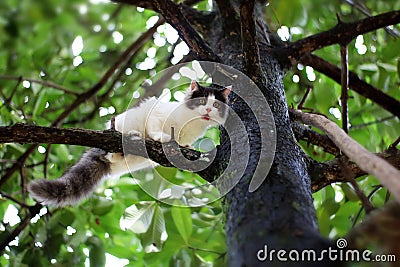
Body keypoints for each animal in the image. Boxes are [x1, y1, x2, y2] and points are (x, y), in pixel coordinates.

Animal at [28, 81, 231, 207]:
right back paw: (131, 136)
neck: (191, 123)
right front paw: (161, 137)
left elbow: (184, 143)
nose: (207, 110)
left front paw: (186, 148)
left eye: (216, 105)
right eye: (202, 101)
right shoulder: (155, 112)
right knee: (110, 151)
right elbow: (156, 128)